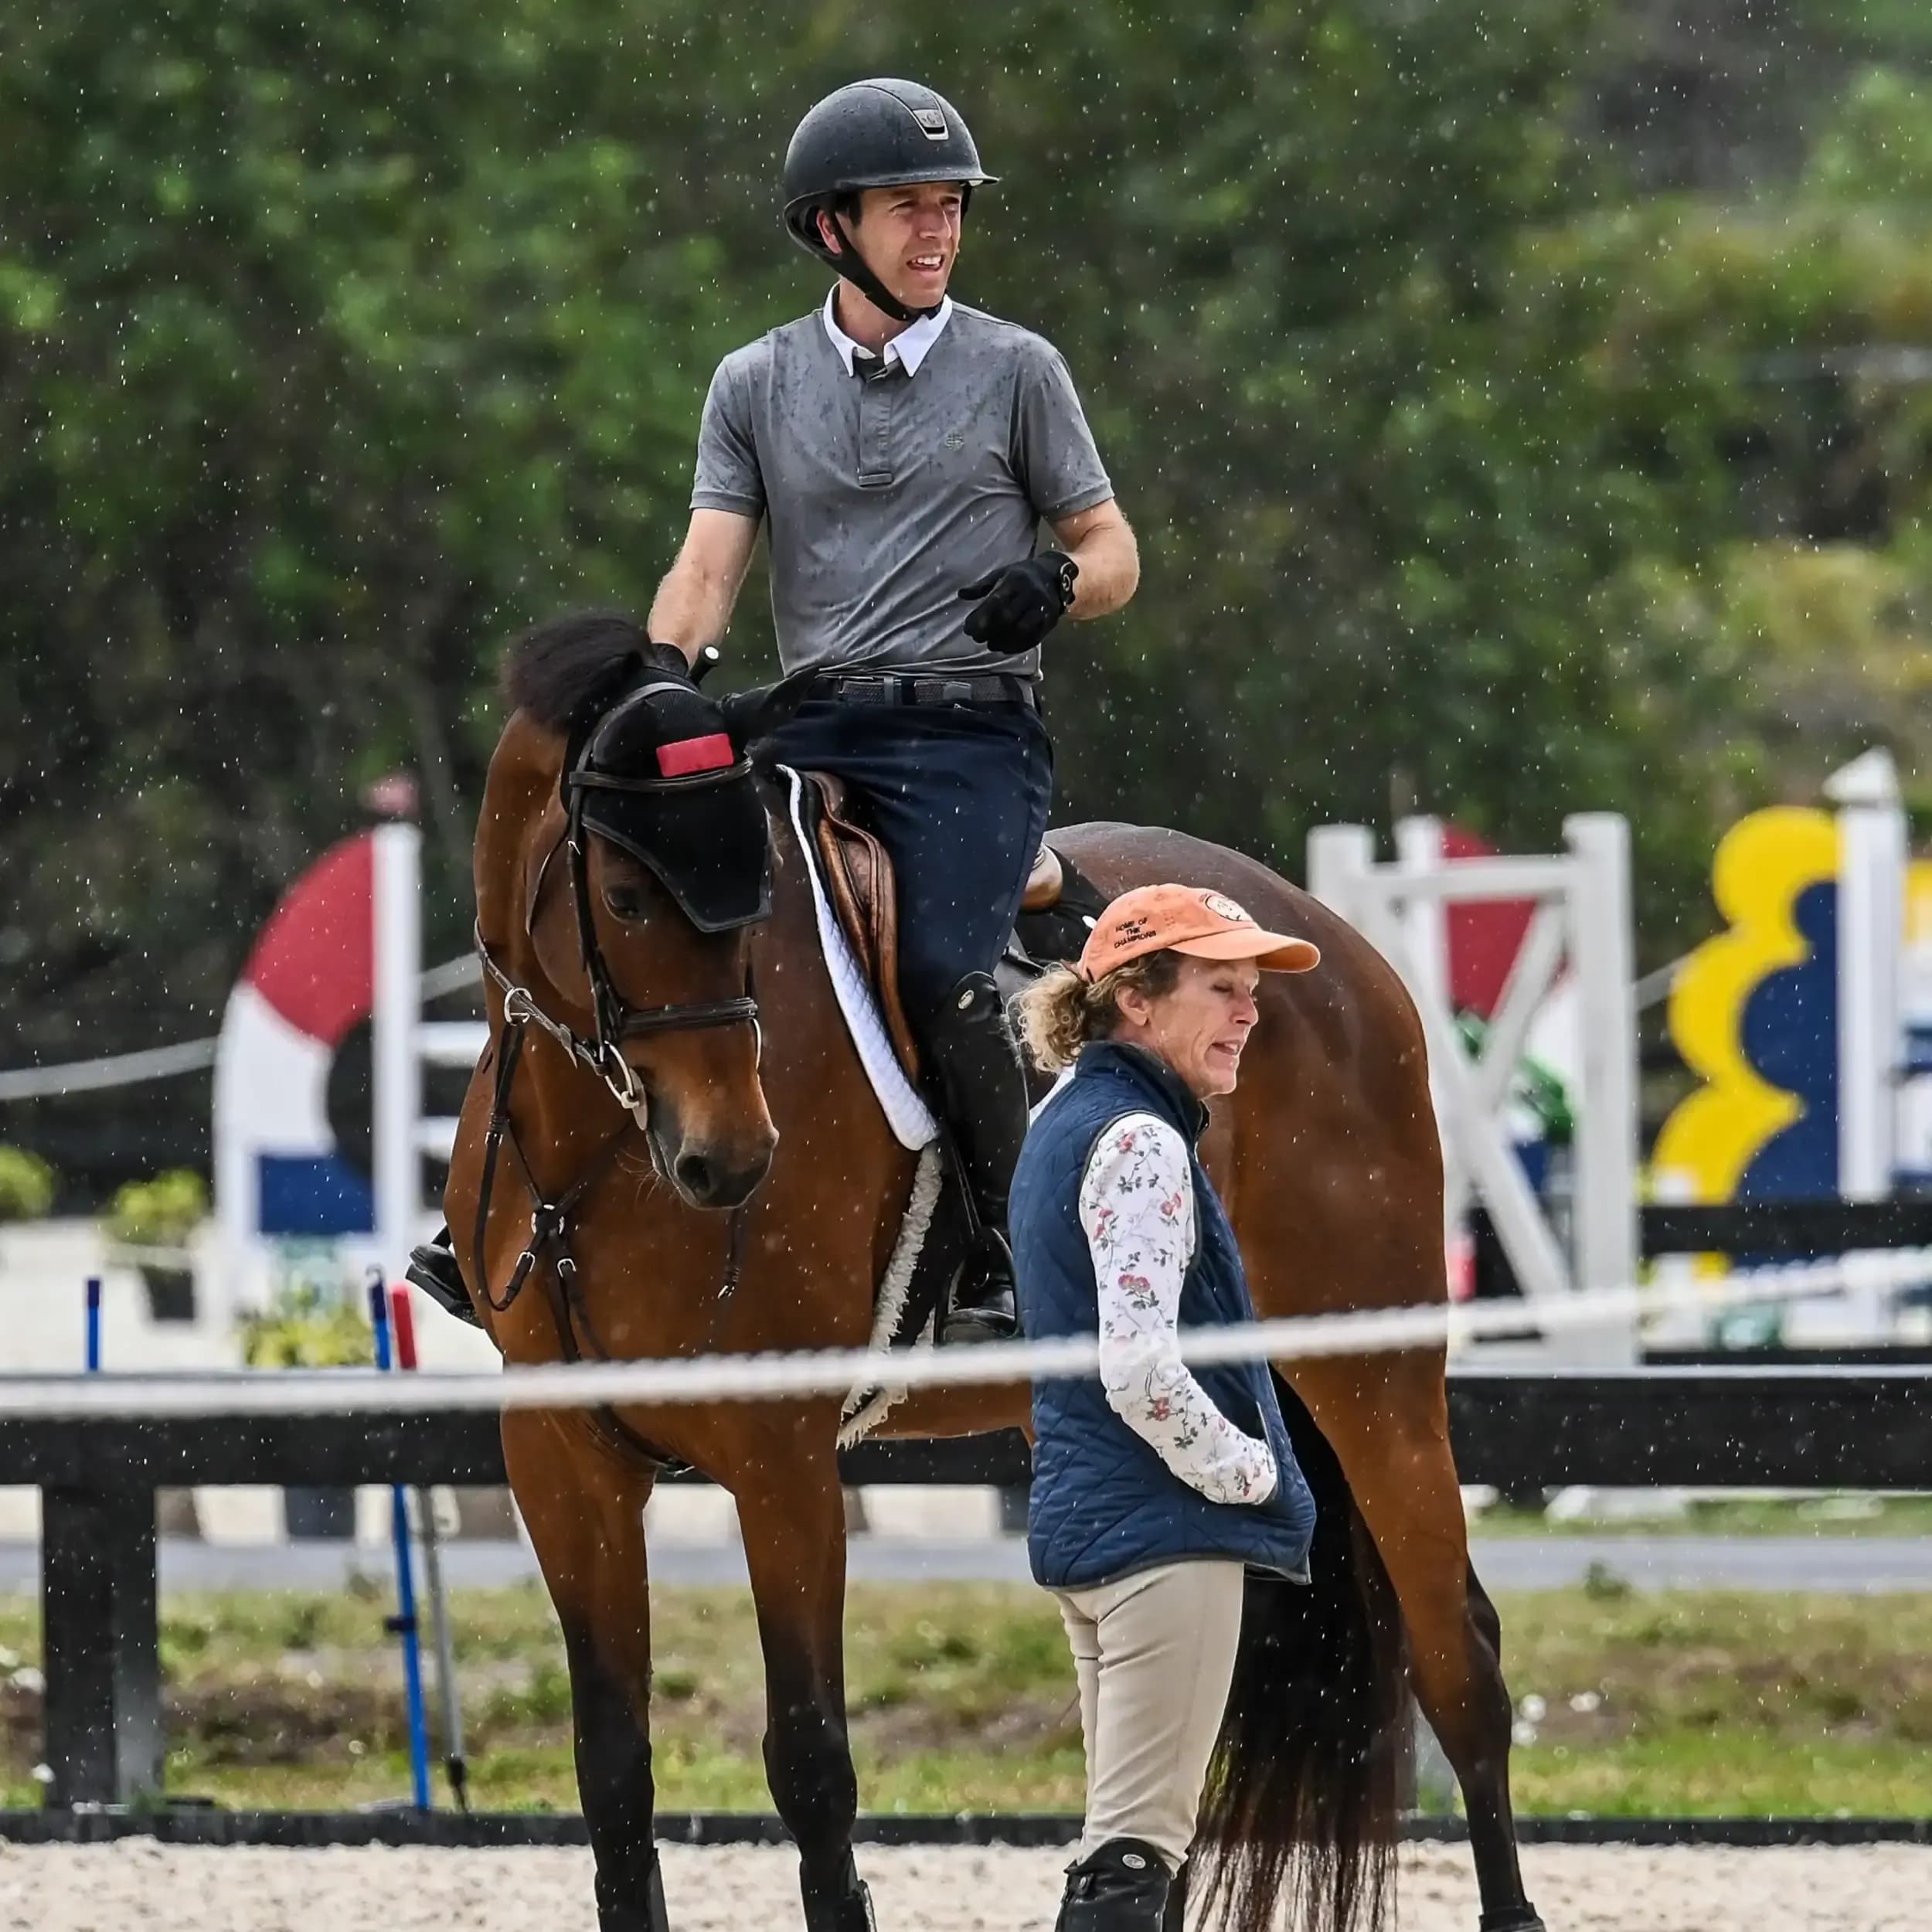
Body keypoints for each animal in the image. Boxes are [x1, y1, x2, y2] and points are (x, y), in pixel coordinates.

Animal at [444, 614, 1546, 1932]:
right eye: (621, 896)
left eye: (751, 903)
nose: (730, 1159)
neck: (594, 1154)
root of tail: (1330, 942)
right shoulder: (563, 1461)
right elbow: (613, 1769)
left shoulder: (781, 1456)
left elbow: (811, 1762)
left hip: (1373, 1375)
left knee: (1458, 1655)